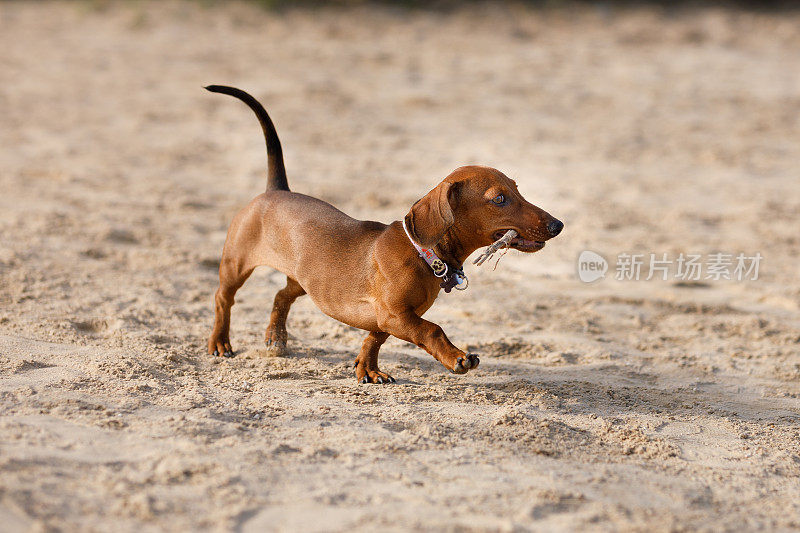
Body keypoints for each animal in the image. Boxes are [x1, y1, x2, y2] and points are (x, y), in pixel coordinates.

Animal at [206, 85, 564, 380]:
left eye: (517, 188)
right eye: (499, 199)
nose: (557, 225)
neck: (422, 253)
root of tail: (277, 189)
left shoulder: (390, 318)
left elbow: (374, 338)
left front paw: (368, 369)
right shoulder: (396, 315)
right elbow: (432, 331)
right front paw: (457, 357)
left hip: (306, 281)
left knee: (281, 295)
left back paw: (275, 337)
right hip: (237, 263)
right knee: (224, 298)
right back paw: (220, 342)